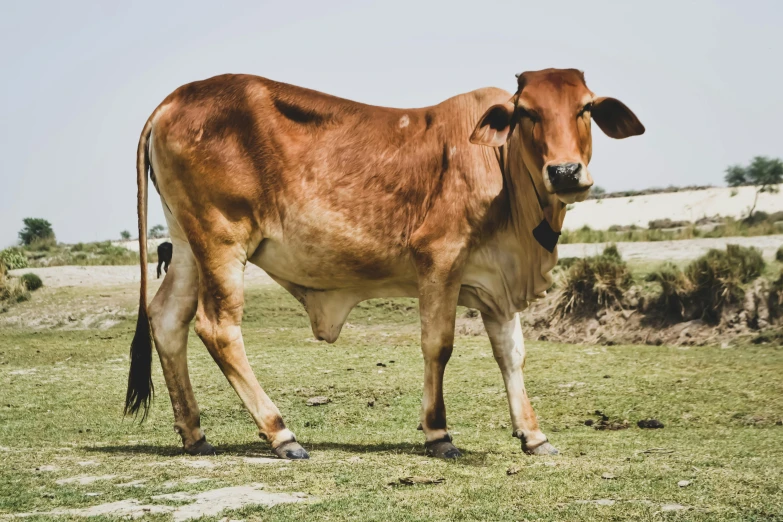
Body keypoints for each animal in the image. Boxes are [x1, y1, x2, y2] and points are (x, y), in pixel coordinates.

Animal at [127, 67, 644, 458]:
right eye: (527, 112)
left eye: (585, 108)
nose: (565, 172)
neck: (502, 170)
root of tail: (172, 101)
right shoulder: (439, 260)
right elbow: (438, 345)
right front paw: (438, 433)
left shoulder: (497, 285)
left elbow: (511, 353)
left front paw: (533, 435)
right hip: (222, 242)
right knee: (218, 327)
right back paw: (281, 434)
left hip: (188, 246)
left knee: (168, 319)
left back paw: (195, 434)